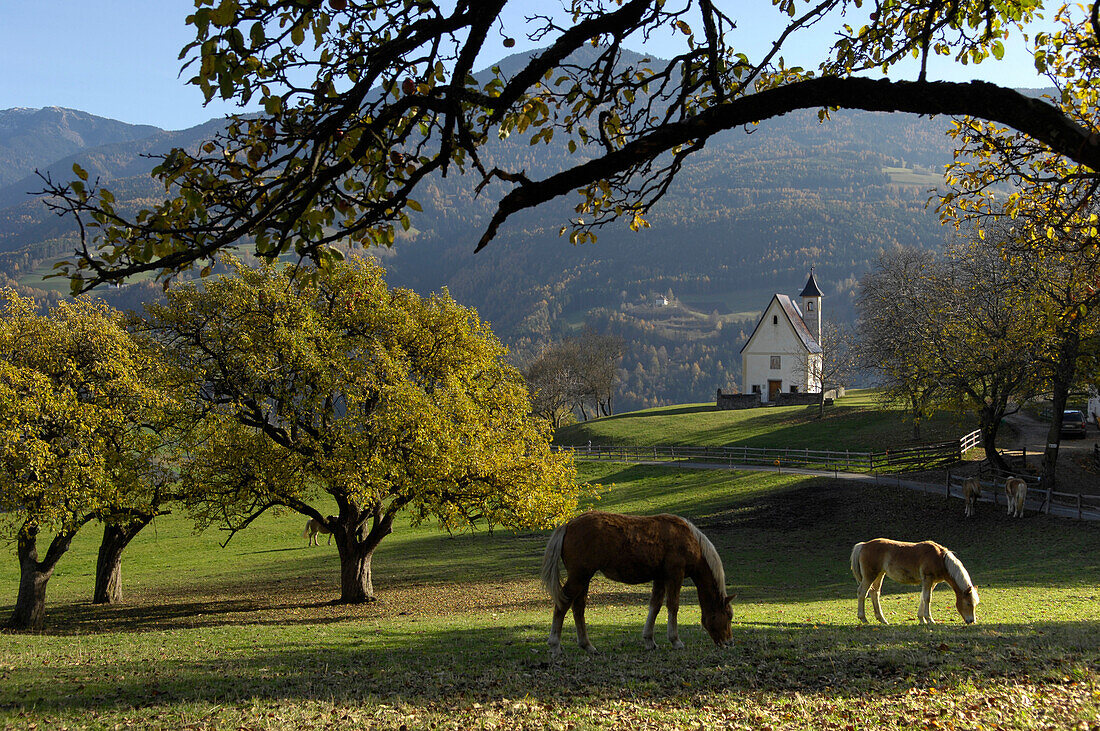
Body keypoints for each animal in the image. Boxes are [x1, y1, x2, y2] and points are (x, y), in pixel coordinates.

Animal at [539, 507, 734, 655]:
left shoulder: (660, 577)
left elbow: (655, 606)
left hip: (584, 578)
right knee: (563, 604)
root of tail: (568, 525)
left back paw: (587, 646)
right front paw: (675, 640)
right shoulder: (674, 575)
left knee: (578, 608)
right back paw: (555, 645)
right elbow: (673, 606)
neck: (689, 539)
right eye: (728, 616)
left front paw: (649, 640)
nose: (729, 642)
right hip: (579, 577)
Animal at [849, 538, 981, 624]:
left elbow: (923, 597)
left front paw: (921, 619)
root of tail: (863, 545)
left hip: (879, 575)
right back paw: (863, 618)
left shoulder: (931, 582)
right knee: (862, 593)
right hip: (870, 575)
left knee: (874, 593)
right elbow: (927, 598)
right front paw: (930, 619)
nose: (971, 621)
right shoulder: (928, 578)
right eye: (968, 603)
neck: (940, 559)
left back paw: (882, 619)